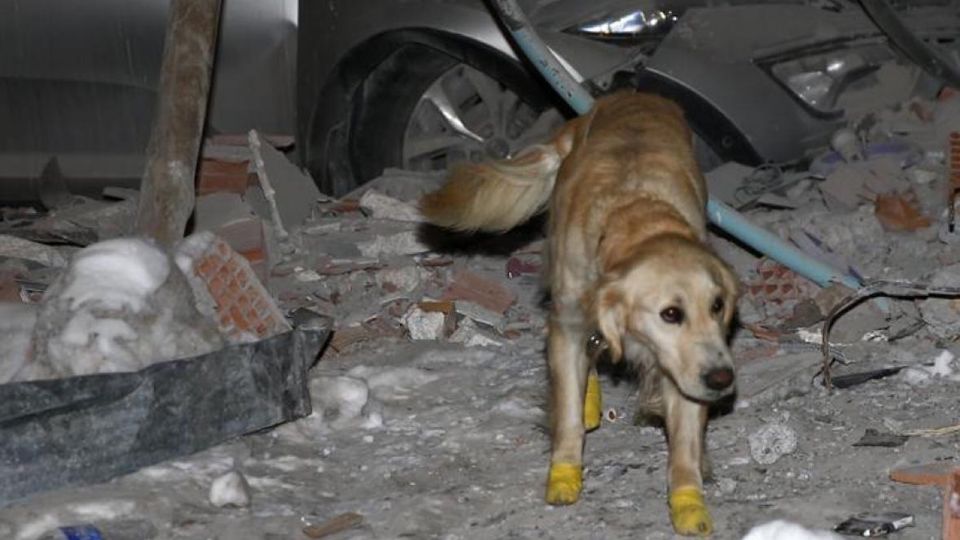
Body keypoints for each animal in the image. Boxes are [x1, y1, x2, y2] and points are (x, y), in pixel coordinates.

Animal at [416, 90, 740, 532]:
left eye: (717, 306)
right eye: (671, 314)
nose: (723, 379)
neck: (636, 215)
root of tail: (627, 94)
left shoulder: (684, 367)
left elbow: (685, 440)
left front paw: (689, 500)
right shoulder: (566, 328)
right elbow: (568, 410)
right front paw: (564, 473)